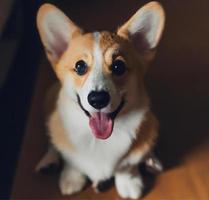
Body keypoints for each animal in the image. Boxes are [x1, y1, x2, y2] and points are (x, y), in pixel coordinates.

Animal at [36, 1, 165, 198]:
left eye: (119, 66)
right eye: (80, 66)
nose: (98, 99)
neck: (98, 141)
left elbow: (126, 165)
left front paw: (129, 181)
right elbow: (70, 159)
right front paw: (71, 177)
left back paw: (152, 160)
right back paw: (48, 161)